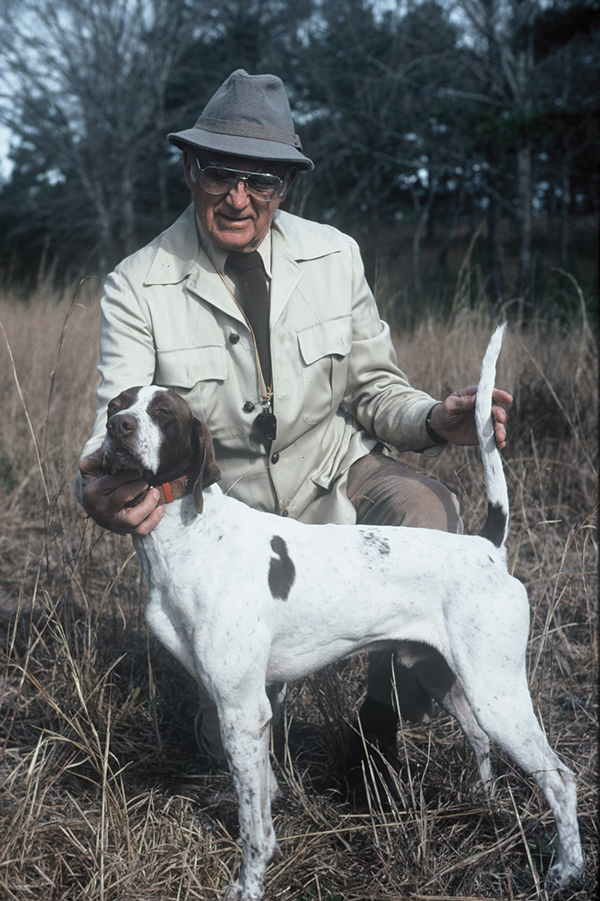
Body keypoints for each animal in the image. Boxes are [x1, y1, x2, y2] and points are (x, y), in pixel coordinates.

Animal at [103, 328, 580, 900]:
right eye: (116, 405)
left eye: (164, 413)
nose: (118, 428)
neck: (190, 534)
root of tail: (487, 547)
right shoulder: (251, 710)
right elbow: (263, 796)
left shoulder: (241, 710)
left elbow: (253, 827)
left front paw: (250, 885)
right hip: (443, 676)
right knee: (480, 738)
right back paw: (481, 802)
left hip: (497, 691)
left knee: (560, 778)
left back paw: (566, 870)